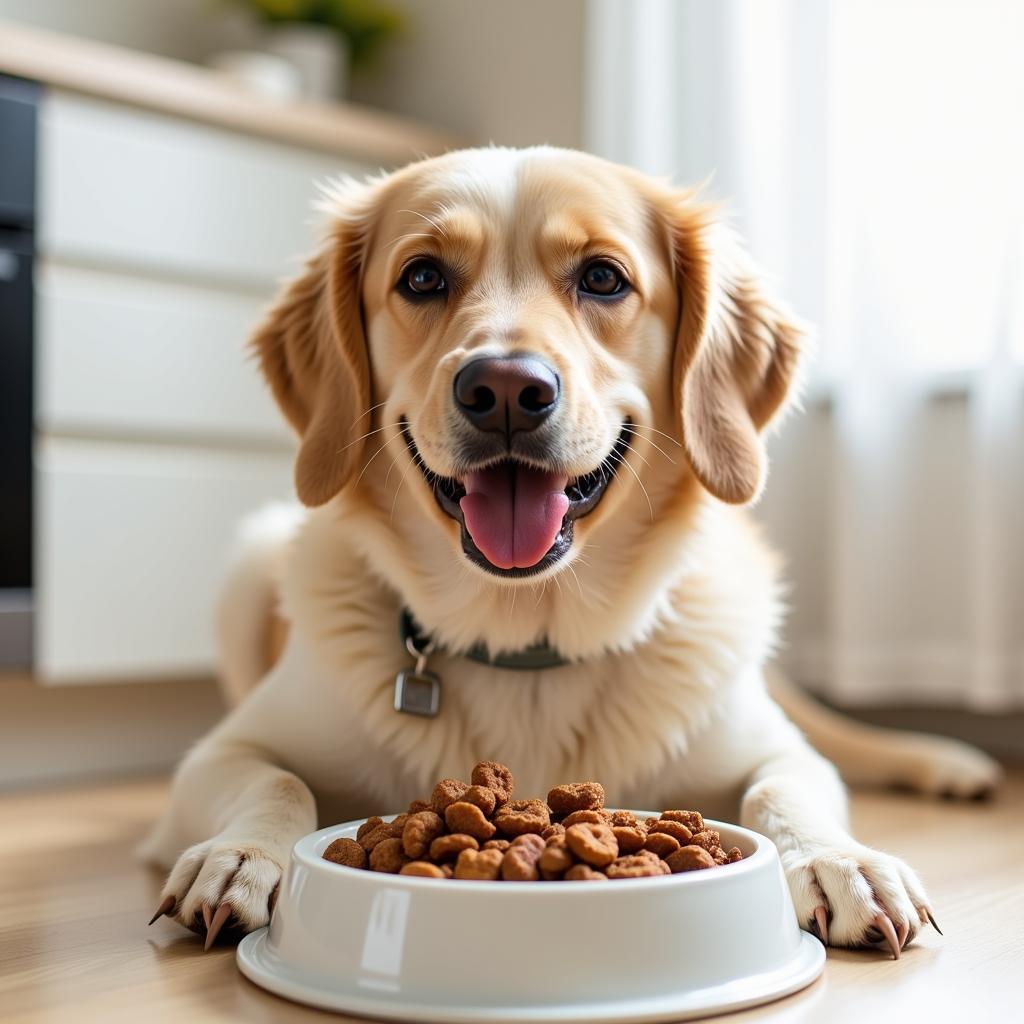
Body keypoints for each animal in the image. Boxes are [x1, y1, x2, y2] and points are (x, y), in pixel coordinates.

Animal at [142, 148, 999, 954]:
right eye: (422, 277)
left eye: (602, 278)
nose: (504, 390)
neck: (528, 643)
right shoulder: (223, 752)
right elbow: (280, 785)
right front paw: (241, 855)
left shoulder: (775, 754)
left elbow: (782, 790)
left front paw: (837, 860)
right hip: (248, 563)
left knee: (839, 737)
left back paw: (947, 763)